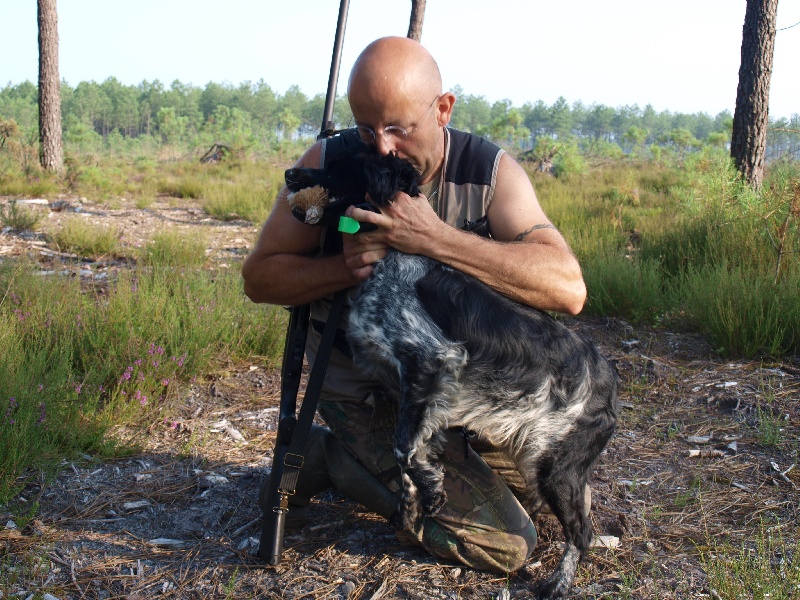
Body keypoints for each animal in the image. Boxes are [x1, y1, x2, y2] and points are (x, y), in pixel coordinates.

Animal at [282, 145, 620, 600]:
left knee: (581, 532)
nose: (290, 172)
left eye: (336, 166)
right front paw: (412, 505)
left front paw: (430, 488)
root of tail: (606, 376)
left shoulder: (433, 359)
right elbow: (404, 451)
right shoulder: (410, 388)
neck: (391, 260)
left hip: (555, 465)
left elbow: (404, 448)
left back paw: (559, 583)